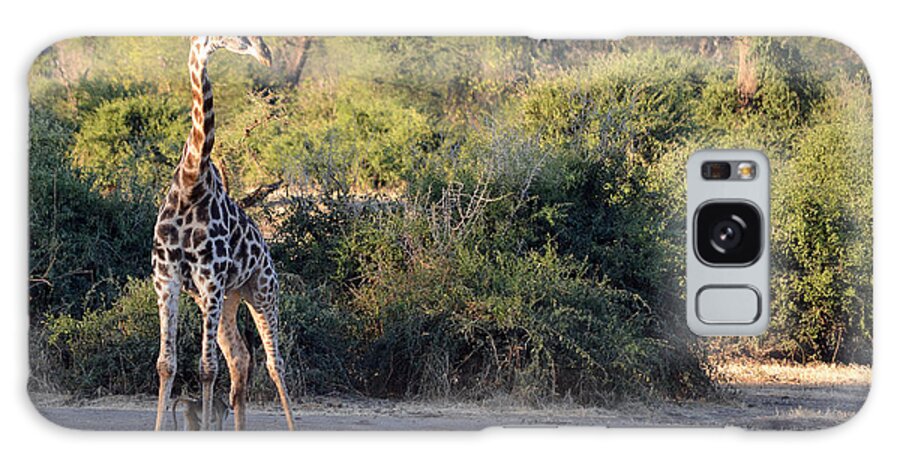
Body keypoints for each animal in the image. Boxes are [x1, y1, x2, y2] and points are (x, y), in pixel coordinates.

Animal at [152, 36, 296, 432]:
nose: (266, 53)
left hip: (262, 291)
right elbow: (166, 364)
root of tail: (267, 251)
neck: (191, 181)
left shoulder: (210, 279)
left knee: (274, 363)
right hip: (229, 299)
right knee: (240, 358)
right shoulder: (166, 278)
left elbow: (206, 367)